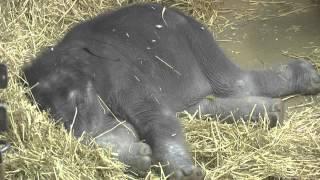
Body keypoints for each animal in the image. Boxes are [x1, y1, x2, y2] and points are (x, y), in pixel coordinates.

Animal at [22, 2, 320, 180]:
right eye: (55, 117)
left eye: (80, 100)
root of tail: (175, 10)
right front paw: (142, 155)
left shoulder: (121, 76)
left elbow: (153, 116)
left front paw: (187, 174)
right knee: (197, 107)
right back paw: (274, 112)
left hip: (197, 41)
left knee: (235, 83)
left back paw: (307, 79)